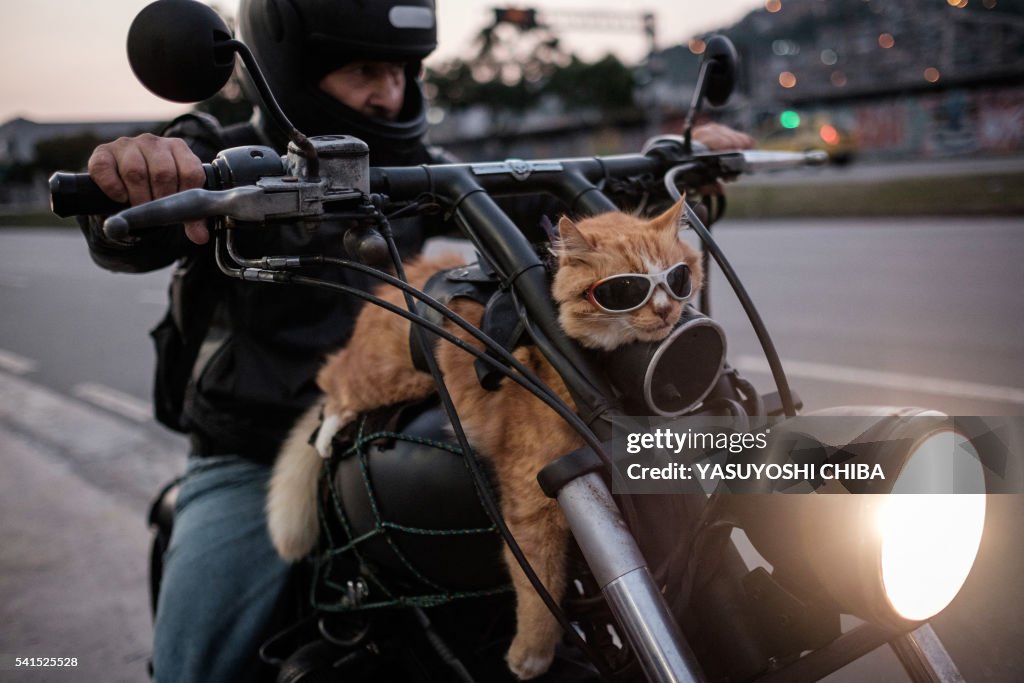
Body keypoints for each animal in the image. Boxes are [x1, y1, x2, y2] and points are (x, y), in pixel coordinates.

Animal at [266, 196, 704, 679]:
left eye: (679, 277)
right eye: (624, 290)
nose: (665, 312)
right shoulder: (533, 499)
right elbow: (539, 585)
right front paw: (531, 655)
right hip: (388, 378)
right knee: (332, 382)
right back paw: (329, 430)